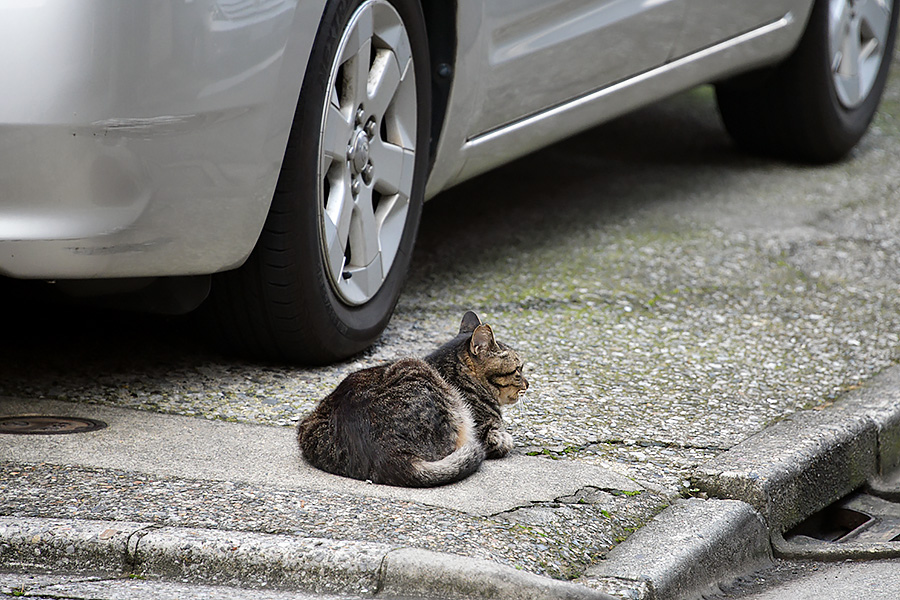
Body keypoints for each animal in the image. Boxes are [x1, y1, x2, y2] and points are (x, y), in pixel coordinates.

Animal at [298, 314, 528, 488]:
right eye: (519, 369)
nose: (527, 384)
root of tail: (391, 455)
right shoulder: (487, 433)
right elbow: (503, 441)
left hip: (307, 425)